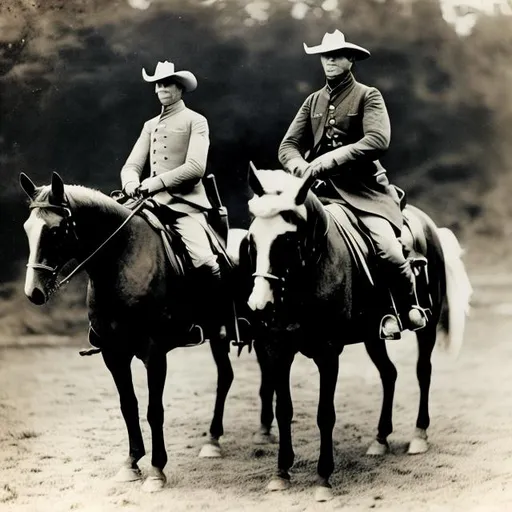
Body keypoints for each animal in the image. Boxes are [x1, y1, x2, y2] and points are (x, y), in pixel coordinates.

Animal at [19, 175, 274, 492]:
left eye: (55, 230)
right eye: (27, 228)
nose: (33, 292)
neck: (121, 262)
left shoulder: (154, 354)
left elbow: (154, 410)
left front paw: (156, 470)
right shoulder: (114, 355)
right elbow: (128, 406)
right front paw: (131, 463)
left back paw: (264, 431)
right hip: (218, 336)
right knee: (226, 377)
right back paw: (215, 440)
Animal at [244, 168, 472, 500]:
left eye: (287, 239)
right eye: (252, 240)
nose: (260, 305)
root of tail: (427, 224)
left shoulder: (328, 353)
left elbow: (325, 414)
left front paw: (323, 478)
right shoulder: (278, 349)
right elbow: (283, 409)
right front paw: (281, 473)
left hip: (426, 328)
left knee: (423, 372)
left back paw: (419, 435)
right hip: (373, 338)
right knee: (389, 374)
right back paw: (380, 439)